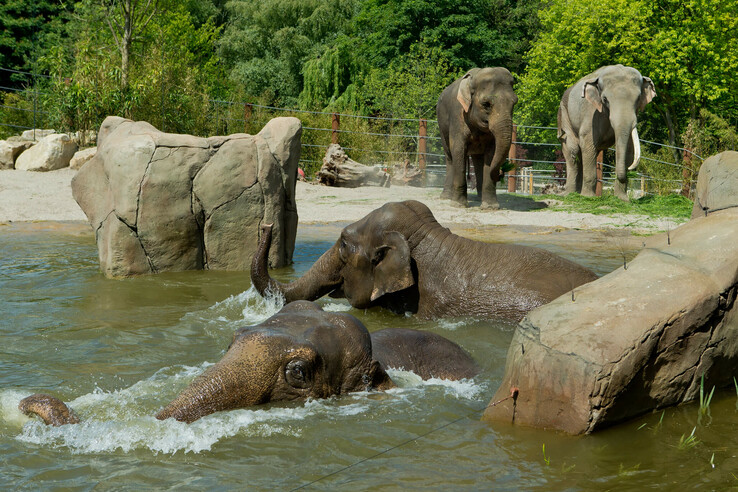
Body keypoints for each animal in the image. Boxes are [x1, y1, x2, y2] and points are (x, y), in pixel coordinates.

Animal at [437, 67, 517, 209]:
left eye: (514, 103)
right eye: (486, 104)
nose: (501, 173)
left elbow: (491, 153)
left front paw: (490, 207)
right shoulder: (458, 116)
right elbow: (458, 149)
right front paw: (458, 205)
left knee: (478, 159)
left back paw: (479, 198)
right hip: (441, 124)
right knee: (449, 156)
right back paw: (446, 197)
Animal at [558, 64, 656, 201]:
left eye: (637, 99)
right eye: (605, 99)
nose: (629, 169)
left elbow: (629, 149)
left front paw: (622, 200)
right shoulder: (591, 115)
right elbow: (588, 144)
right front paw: (589, 198)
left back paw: (577, 193)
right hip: (564, 114)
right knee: (572, 150)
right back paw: (569, 194)